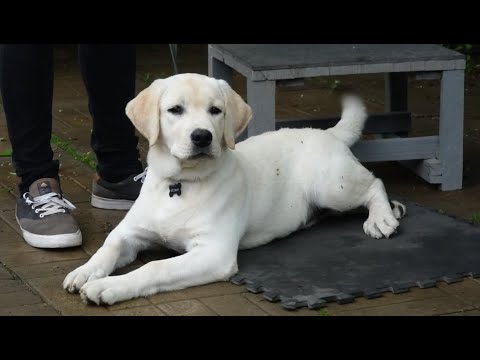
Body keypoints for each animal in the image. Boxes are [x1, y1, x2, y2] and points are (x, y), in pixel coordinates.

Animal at [62, 74, 404, 306]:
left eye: (216, 110)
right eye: (175, 110)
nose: (202, 136)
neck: (180, 184)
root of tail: (327, 133)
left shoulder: (213, 252)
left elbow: (155, 268)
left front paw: (108, 287)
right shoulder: (130, 232)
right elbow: (108, 247)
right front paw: (86, 272)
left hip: (332, 185)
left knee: (374, 183)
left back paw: (382, 218)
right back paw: (394, 209)